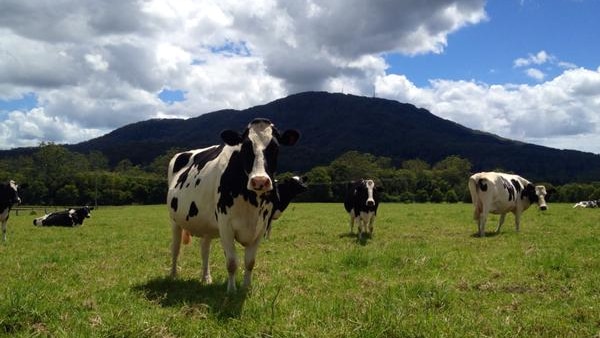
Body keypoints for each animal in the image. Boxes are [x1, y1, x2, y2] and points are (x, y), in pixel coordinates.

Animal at [166, 117, 300, 292]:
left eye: (275, 148)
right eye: (245, 147)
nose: (260, 181)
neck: (252, 203)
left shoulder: (261, 227)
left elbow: (250, 262)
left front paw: (247, 287)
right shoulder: (225, 225)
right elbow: (231, 262)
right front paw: (231, 290)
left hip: (206, 225)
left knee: (204, 249)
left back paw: (206, 278)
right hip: (174, 220)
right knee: (175, 248)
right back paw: (173, 275)